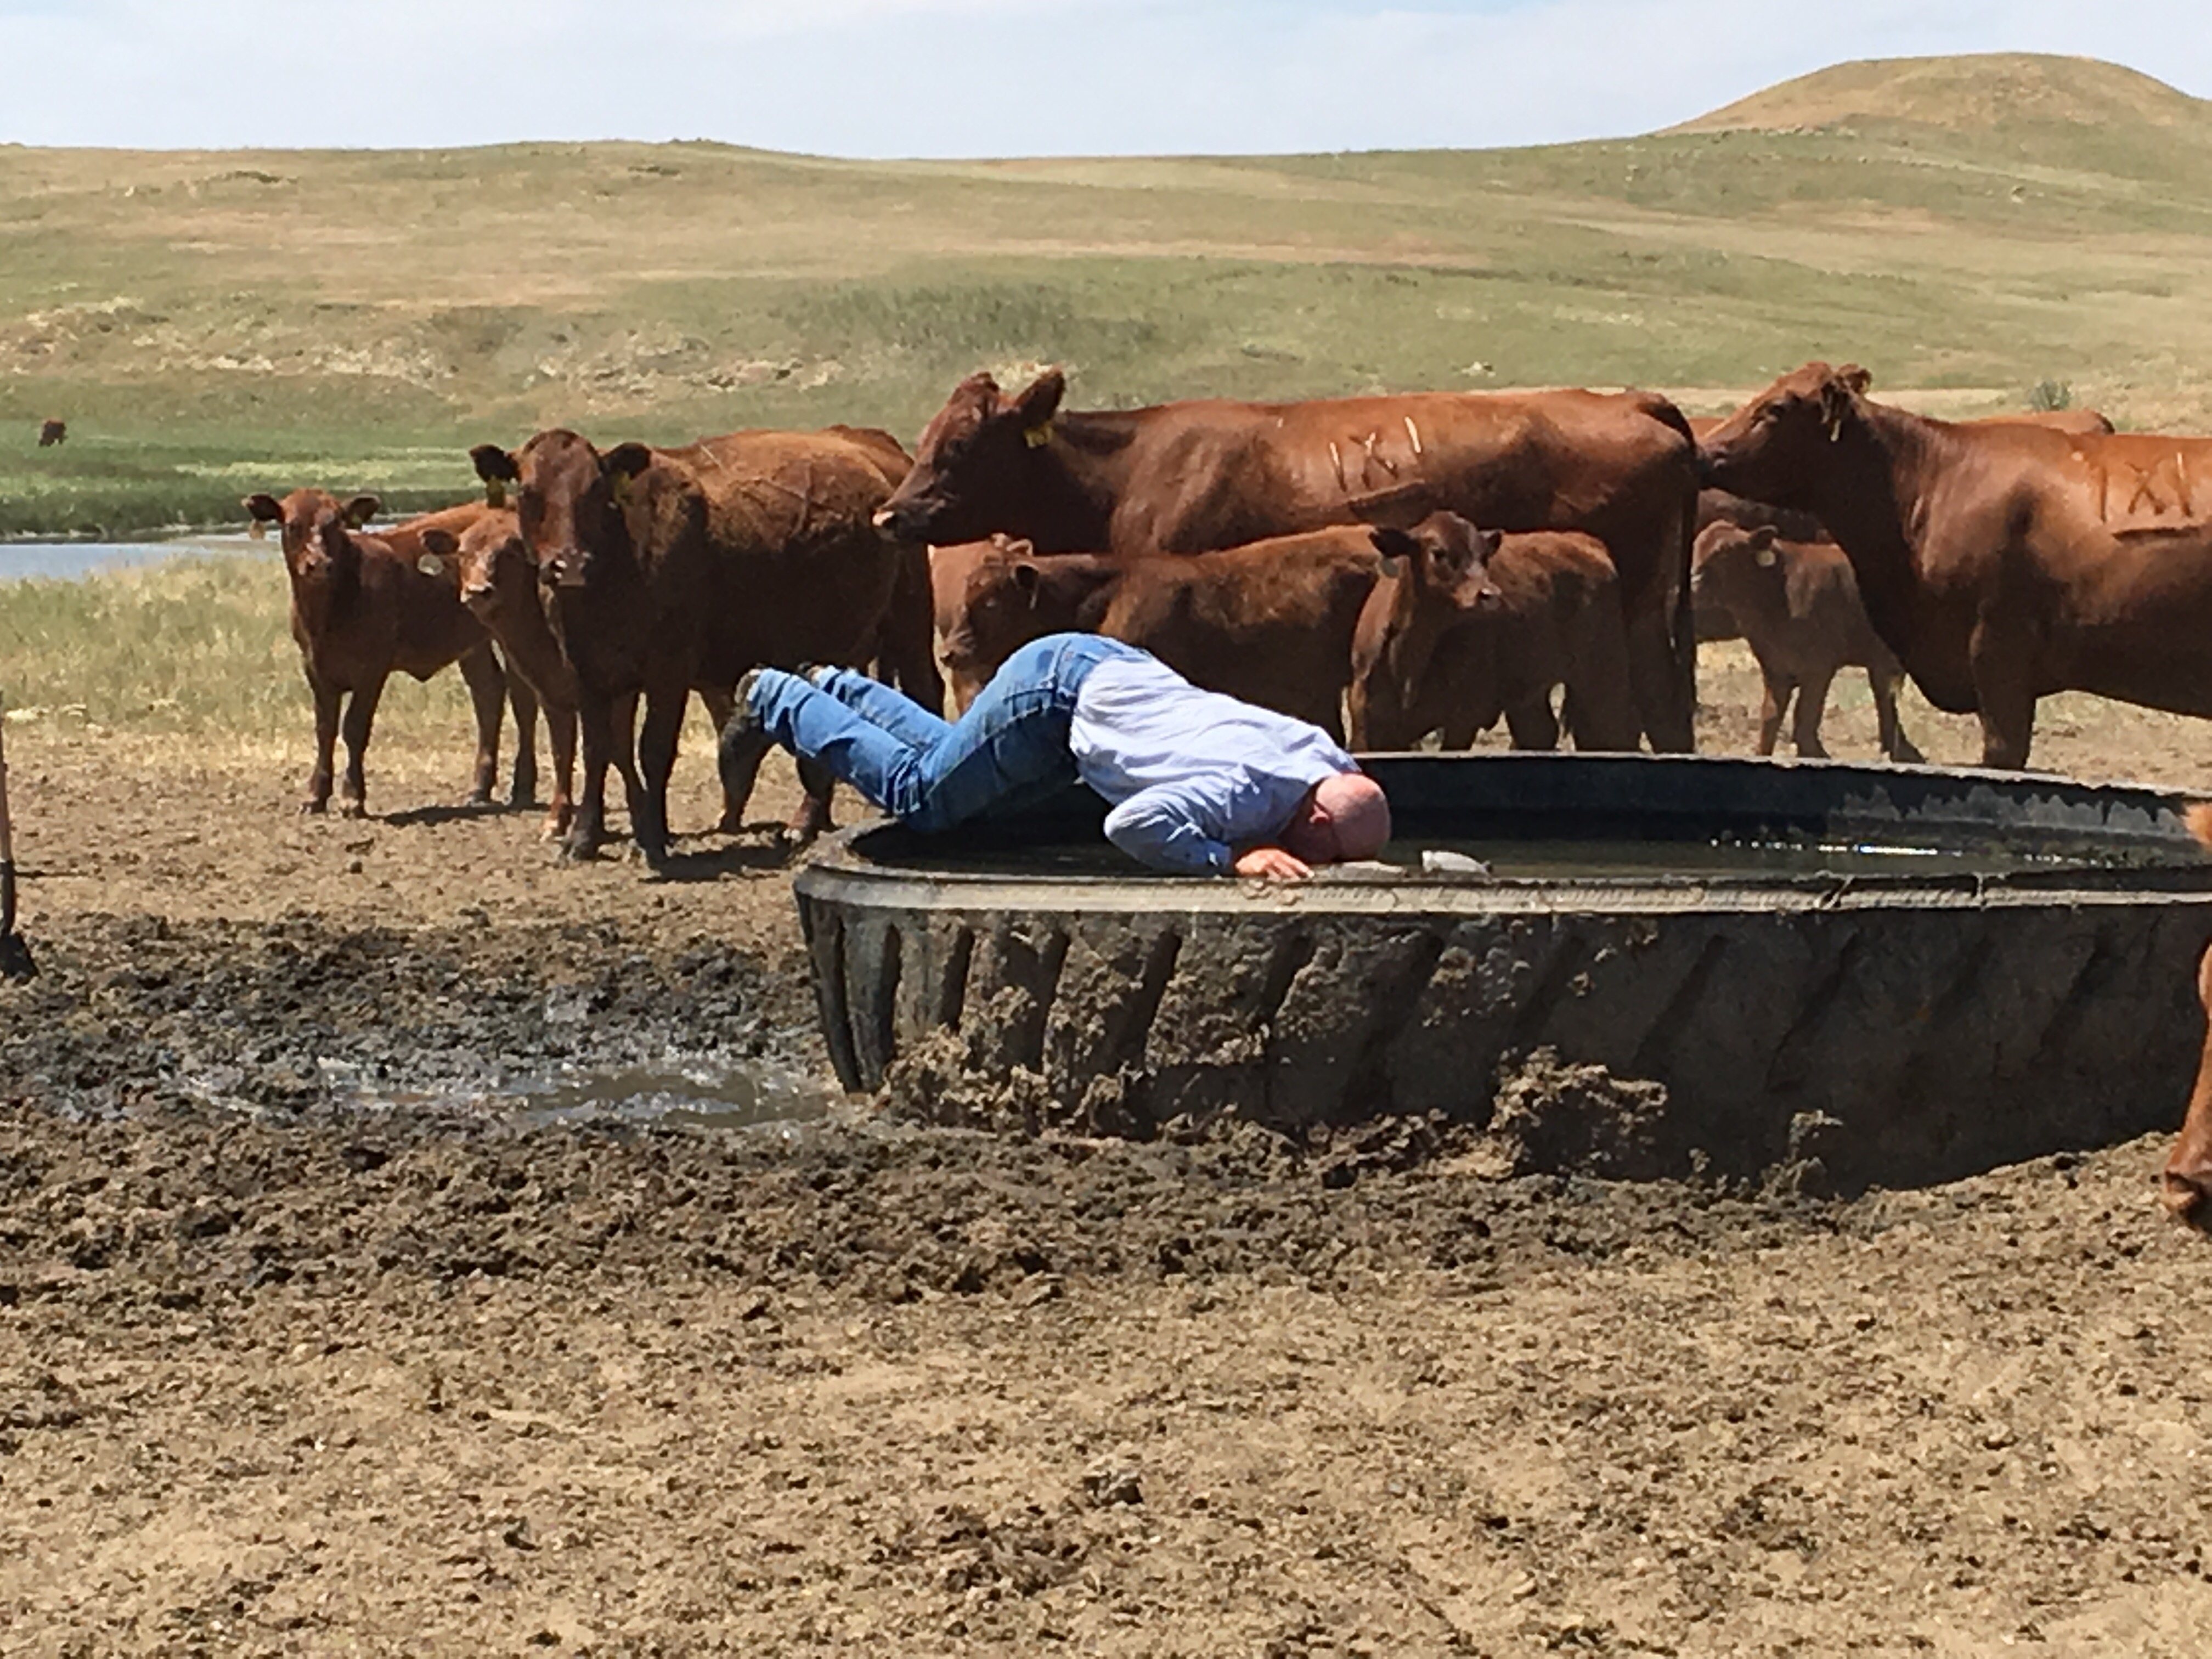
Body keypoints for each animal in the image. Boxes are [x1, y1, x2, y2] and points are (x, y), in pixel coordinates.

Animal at [244, 490, 527, 818]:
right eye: (292, 525)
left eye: (338, 525)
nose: (320, 563)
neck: (327, 614)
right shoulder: (315, 667)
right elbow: (324, 729)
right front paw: (315, 796)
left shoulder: (372, 668)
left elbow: (354, 728)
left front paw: (352, 798)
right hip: (472, 642)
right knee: (488, 692)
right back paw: (479, 788)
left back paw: (522, 788)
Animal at [470, 427, 933, 865]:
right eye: (528, 492)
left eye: (596, 492)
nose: (569, 565)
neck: (620, 563)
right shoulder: (588, 672)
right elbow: (598, 748)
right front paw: (583, 839)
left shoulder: (668, 670)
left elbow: (653, 749)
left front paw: (652, 839)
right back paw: (805, 823)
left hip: (909, 625)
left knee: (924, 695)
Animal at [1349, 530, 1638, 753]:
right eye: (1438, 553)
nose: (1487, 595)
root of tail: (1584, 541)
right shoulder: (1370, 723)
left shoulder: (1463, 718)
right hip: (1528, 694)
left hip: (1601, 678)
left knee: (1607, 734)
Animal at [1691, 521, 1922, 763]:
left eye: (1724, 552)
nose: (1693, 583)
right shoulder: (1776, 668)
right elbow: (1771, 716)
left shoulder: (1818, 668)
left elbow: (1805, 717)